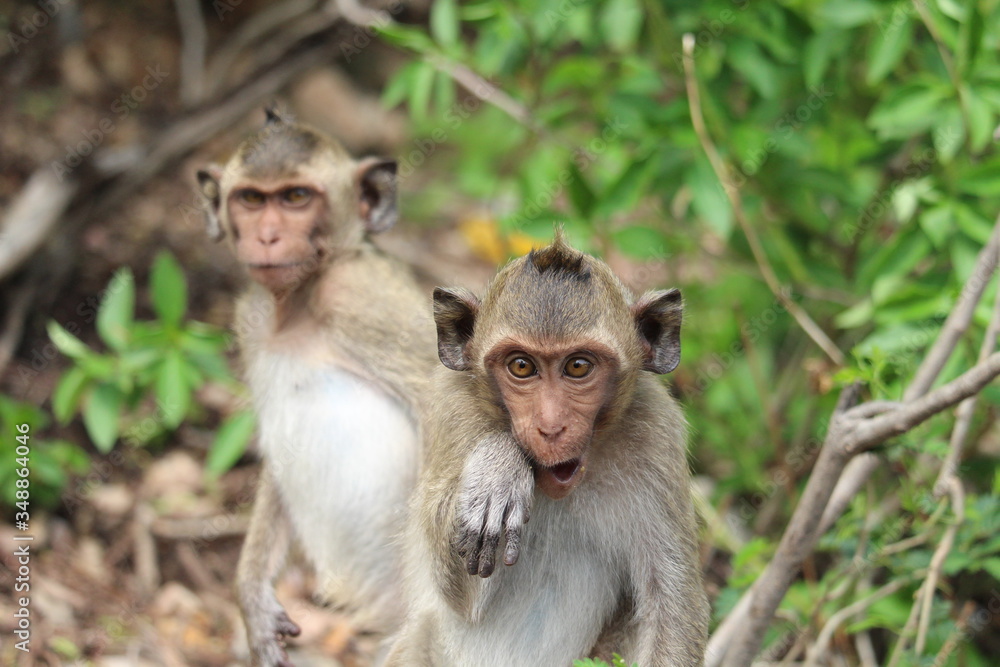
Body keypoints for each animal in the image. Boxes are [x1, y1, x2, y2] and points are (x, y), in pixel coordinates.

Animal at [195, 107, 438, 664]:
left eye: (296, 198)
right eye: (252, 199)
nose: (266, 235)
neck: (298, 306)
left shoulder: (361, 300)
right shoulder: (251, 319)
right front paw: (250, 593)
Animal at [384, 234, 712, 667]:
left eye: (578, 367)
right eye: (522, 367)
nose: (551, 426)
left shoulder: (656, 434)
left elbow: (672, 606)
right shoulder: (453, 408)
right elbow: (461, 597)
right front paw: (499, 469)